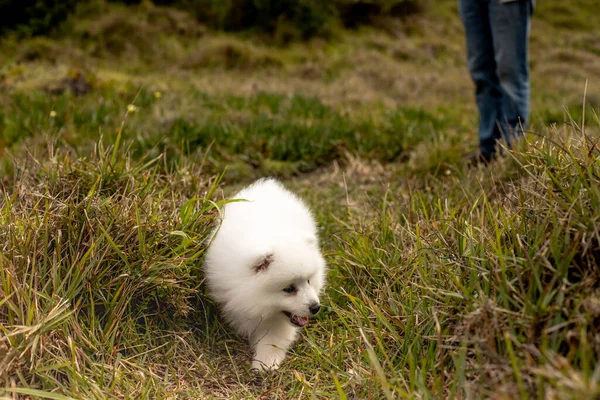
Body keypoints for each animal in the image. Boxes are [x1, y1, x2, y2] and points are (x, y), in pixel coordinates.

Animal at [205, 178, 328, 372]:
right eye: (288, 289)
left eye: (309, 281)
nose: (315, 307)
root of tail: (268, 185)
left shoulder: (277, 320)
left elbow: (273, 338)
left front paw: (265, 362)